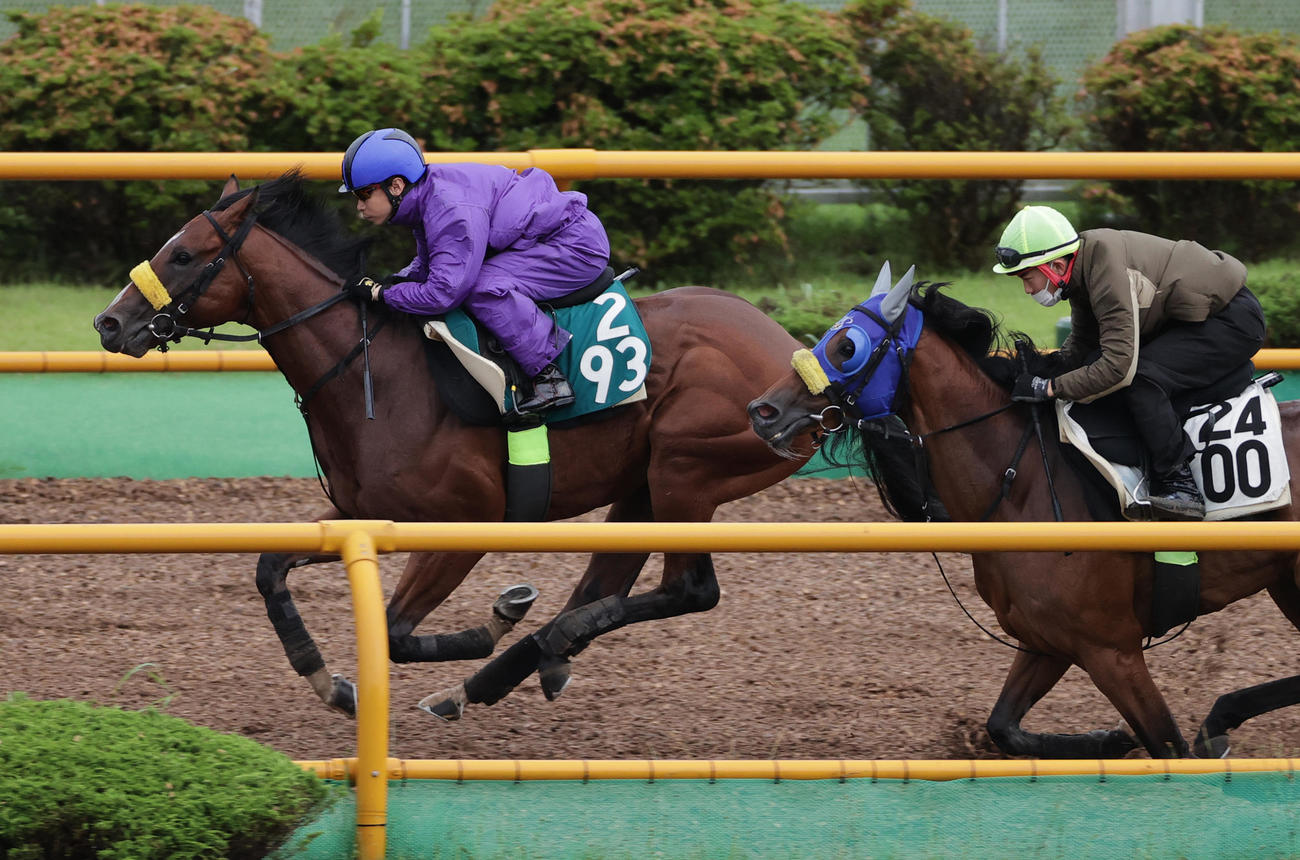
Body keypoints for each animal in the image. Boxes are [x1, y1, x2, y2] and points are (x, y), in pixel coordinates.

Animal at [93, 171, 804, 721]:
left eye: (185, 255)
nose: (109, 322)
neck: (372, 372)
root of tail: (795, 356)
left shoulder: (467, 523)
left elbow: (394, 634)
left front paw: (495, 618)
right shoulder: (360, 511)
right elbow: (269, 571)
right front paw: (331, 684)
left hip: (687, 469)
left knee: (689, 591)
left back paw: (523, 654)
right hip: (642, 486)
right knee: (602, 588)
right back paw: (520, 667)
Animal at [747, 264, 1300, 758]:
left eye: (847, 348)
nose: (762, 411)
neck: (1020, 484)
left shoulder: (1111, 649)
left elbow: (1169, 748)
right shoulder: (1048, 642)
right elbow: (1003, 727)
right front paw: (1109, 740)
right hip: (1284, 582)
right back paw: (1221, 717)